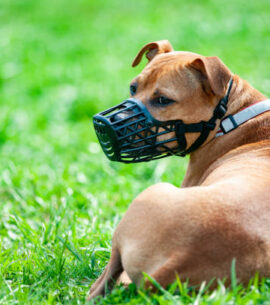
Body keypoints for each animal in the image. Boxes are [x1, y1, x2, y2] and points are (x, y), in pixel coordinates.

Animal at [88, 39, 270, 298]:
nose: (106, 124)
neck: (230, 116)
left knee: (100, 285)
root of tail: (179, 258)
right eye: (133, 88)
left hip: (149, 197)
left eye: (163, 100)